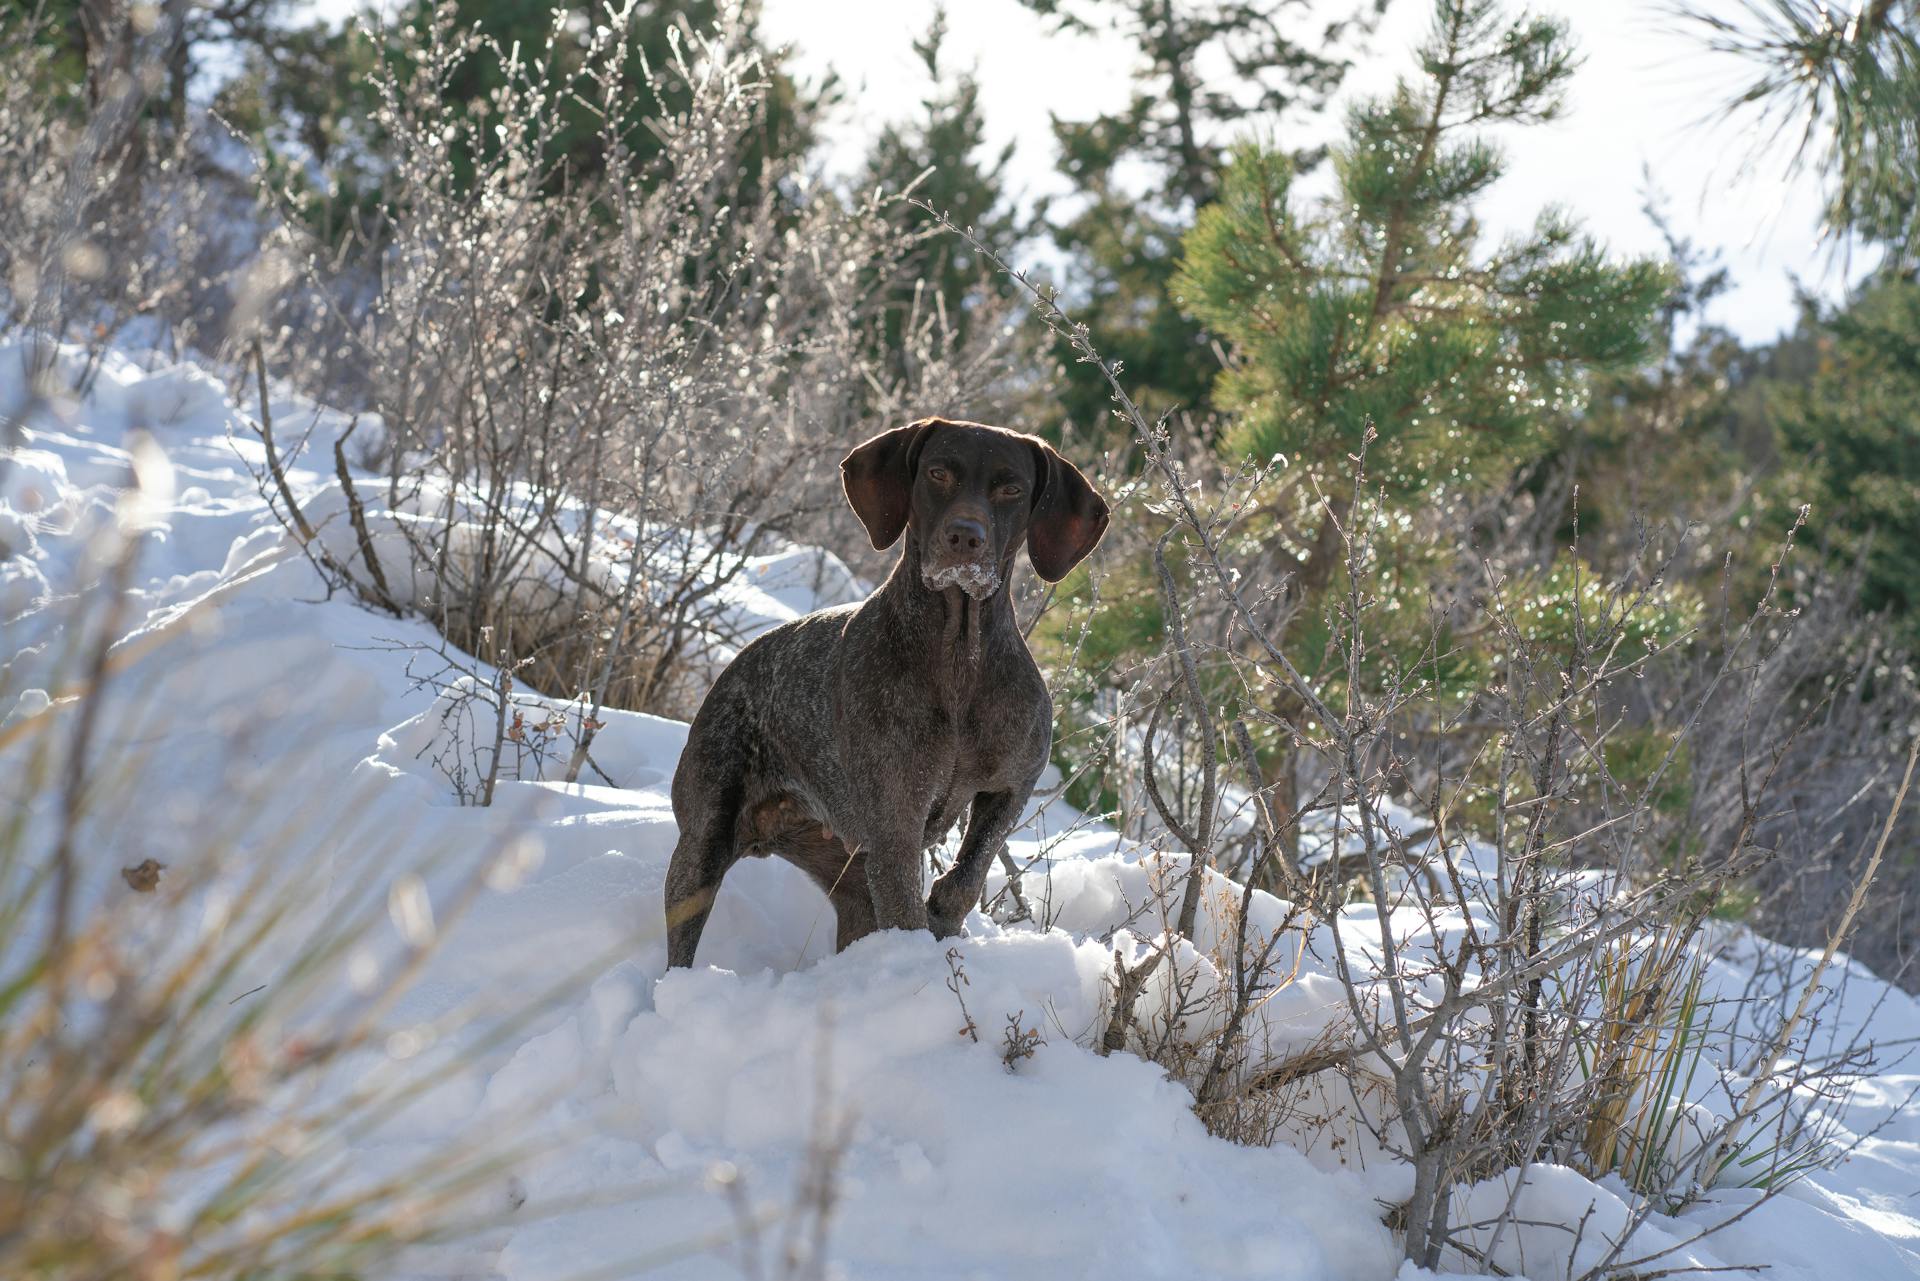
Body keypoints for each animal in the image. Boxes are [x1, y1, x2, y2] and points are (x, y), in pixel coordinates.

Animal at [664, 416, 1105, 967]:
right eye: (937, 473)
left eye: (1011, 489)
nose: (965, 537)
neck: (958, 658)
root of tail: (733, 668)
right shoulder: (896, 820)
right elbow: (907, 910)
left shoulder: (1010, 787)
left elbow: (968, 875)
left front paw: (943, 918)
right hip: (702, 848)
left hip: (851, 878)